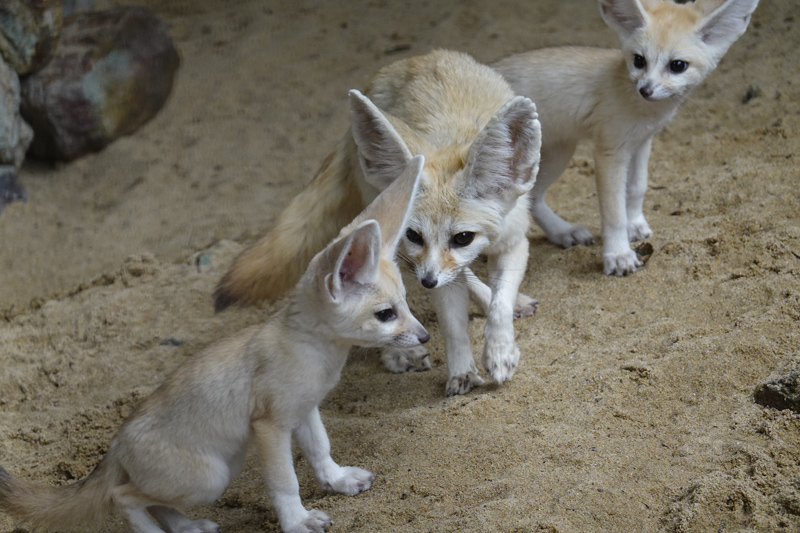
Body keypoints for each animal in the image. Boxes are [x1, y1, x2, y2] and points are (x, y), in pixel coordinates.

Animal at [0, 156, 432, 532]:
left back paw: (187, 527)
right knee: (122, 496)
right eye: (386, 314)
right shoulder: (270, 425)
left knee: (151, 501)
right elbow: (285, 481)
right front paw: (297, 521)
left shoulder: (304, 410)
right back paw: (156, 531)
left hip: (214, 474)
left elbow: (320, 450)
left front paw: (338, 480)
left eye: (406, 303)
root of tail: (116, 442)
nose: (426, 336)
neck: (312, 350)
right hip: (210, 478)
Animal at [216, 50, 544, 394]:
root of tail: (418, 58)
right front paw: (462, 370)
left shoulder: (513, 242)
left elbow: (499, 304)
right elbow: (453, 325)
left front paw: (499, 350)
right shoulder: (424, 261)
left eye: (463, 238)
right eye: (415, 235)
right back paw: (399, 351)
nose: (427, 282)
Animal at [490, 0, 760, 274]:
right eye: (639, 60)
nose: (646, 90)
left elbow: (637, 187)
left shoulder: (642, 142)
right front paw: (618, 254)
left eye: (678, 65)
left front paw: (636, 224)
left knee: (533, 198)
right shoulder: (610, 152)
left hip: (558, 154)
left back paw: (563, 232)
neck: (643, 109)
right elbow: (614, 212)